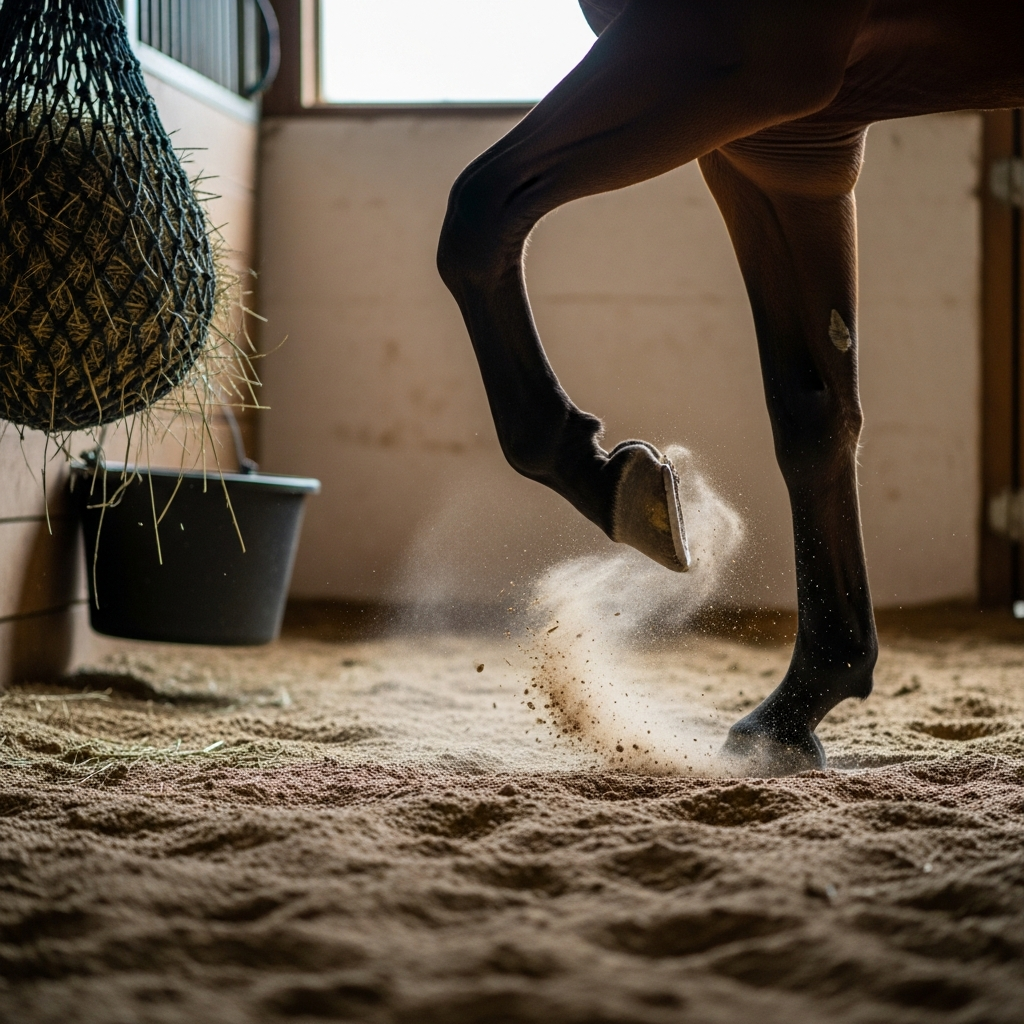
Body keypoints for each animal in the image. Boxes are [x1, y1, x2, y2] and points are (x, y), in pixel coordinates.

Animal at [436, 0, 1024, 775]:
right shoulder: (785, 148)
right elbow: (813, 414)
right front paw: (799, 704)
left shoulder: (725, 59)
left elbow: (479, 216)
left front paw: (609, 479)